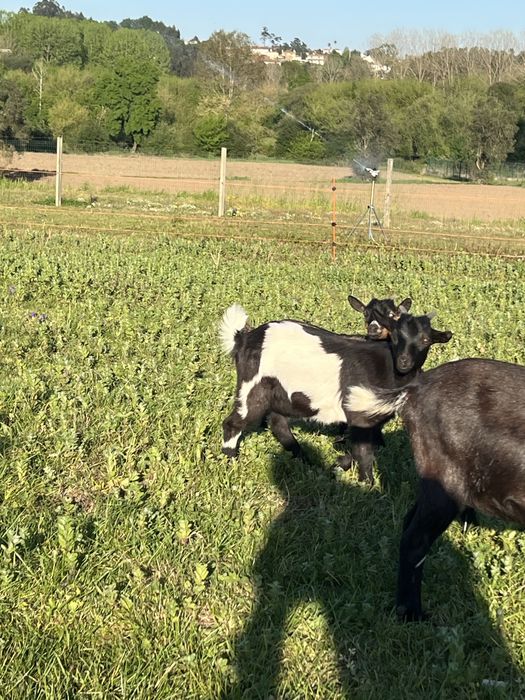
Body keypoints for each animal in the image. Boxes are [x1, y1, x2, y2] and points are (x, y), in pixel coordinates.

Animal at [219, 307, 451, 483]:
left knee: (278, 422)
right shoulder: (358, 414)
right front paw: (368, 485)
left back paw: (305, 460)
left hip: (281, 393)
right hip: (253, 385)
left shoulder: (373, 421)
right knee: (234, 422)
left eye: (425, 340)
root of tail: (244, 338)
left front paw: (338, 465)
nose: (404, 361)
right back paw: (230, 462)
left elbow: (365, 447)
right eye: (394, 337)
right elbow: (364, 452)